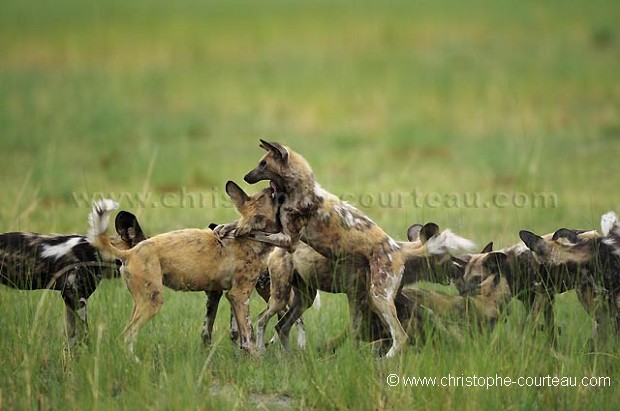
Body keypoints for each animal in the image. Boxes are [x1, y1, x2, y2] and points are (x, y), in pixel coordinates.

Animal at [87, 180, 280, 358]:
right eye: (267, 197)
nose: (271, 186)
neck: (251, 238)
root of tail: (130, 251)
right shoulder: (239, 295)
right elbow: (248, 332)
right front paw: (256, 358)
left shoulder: (224, 295)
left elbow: (232, 334)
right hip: (152, 302)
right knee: (128, 334)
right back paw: (135, 362)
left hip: (141, 301)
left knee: (124, 335)